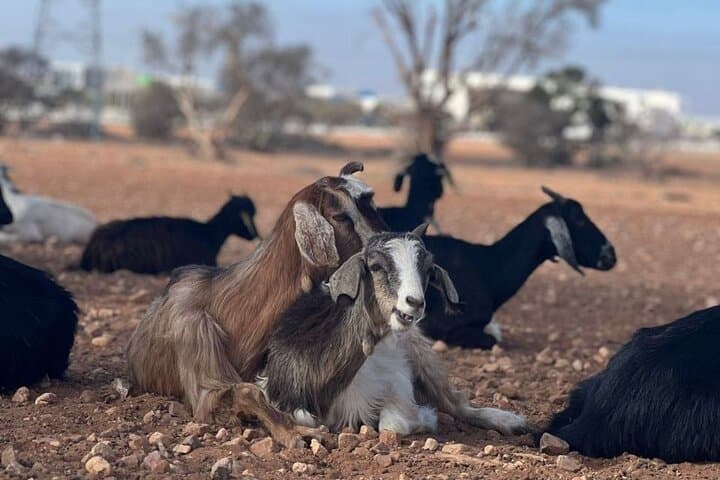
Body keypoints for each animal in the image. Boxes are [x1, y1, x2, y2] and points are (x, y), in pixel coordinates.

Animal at [126, 162, 389, 447]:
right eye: (339, 216)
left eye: (372, 205)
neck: (231, 313)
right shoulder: (200, 360)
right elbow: (247, 392)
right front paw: (295, 432)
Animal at [264, 225, 529, 436]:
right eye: (376, 266)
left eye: (429, 269)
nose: (415, 302)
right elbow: (305, 418)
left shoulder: (397, 380)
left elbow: (392, 424)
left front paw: (425, 418)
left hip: (421, 354)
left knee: (457, 405)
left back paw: (511, 421)